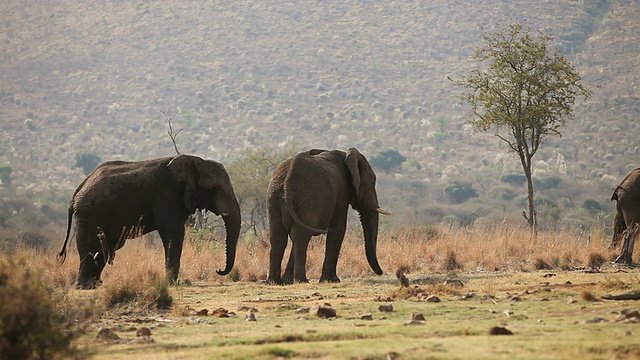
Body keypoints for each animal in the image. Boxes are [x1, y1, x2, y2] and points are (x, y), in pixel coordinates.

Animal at [57, 155, 241, 290]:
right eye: (216, 189)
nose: (218, 270)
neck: (196, 161)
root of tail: (75, 194)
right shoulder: (167, 193)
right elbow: (173, 233)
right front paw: (174, 283)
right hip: (89, 214)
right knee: (90, 247)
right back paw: (85, 287)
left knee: (103, 250)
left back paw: (94, 285)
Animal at [264, 148, 390, 284]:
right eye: (372, 183)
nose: (380, 272)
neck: (346, 155)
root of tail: (287, 184)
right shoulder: (341, 192)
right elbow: (339, 229)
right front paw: (332, 280)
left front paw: (287, 281)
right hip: (308, 202)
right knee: (300, 236)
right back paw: (302, 281)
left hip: (273, 200)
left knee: (278, 238)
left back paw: (274, 282)